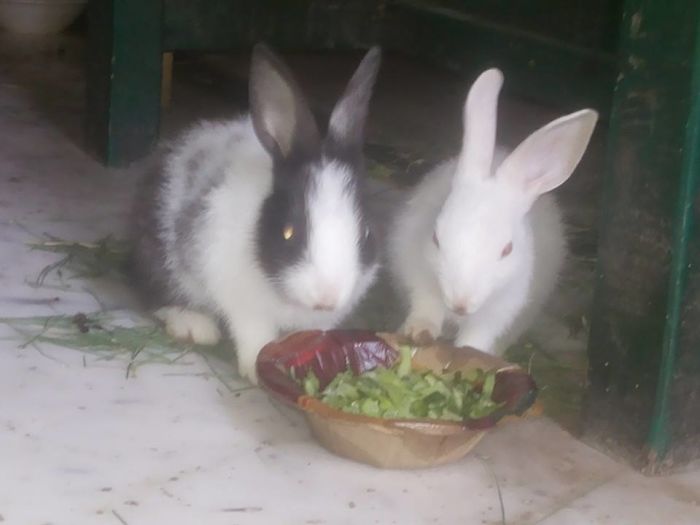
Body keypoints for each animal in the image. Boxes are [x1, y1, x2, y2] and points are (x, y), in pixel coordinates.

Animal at [130, 44, 382, 383]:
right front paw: (255, 370)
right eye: (289, 233)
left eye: (365, 233)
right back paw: (195, 326)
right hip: (161, 260)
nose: (326, 298)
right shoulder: (242, 302)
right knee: (153, 292)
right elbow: (255, 336)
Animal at [388, 68, 598, 356]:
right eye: (435, 239)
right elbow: (425, 308)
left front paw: (472, 352)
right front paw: (418, 332)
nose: (461, 304)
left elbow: (478, 335)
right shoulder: (418, 276)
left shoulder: (502, 308)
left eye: (507, 250)